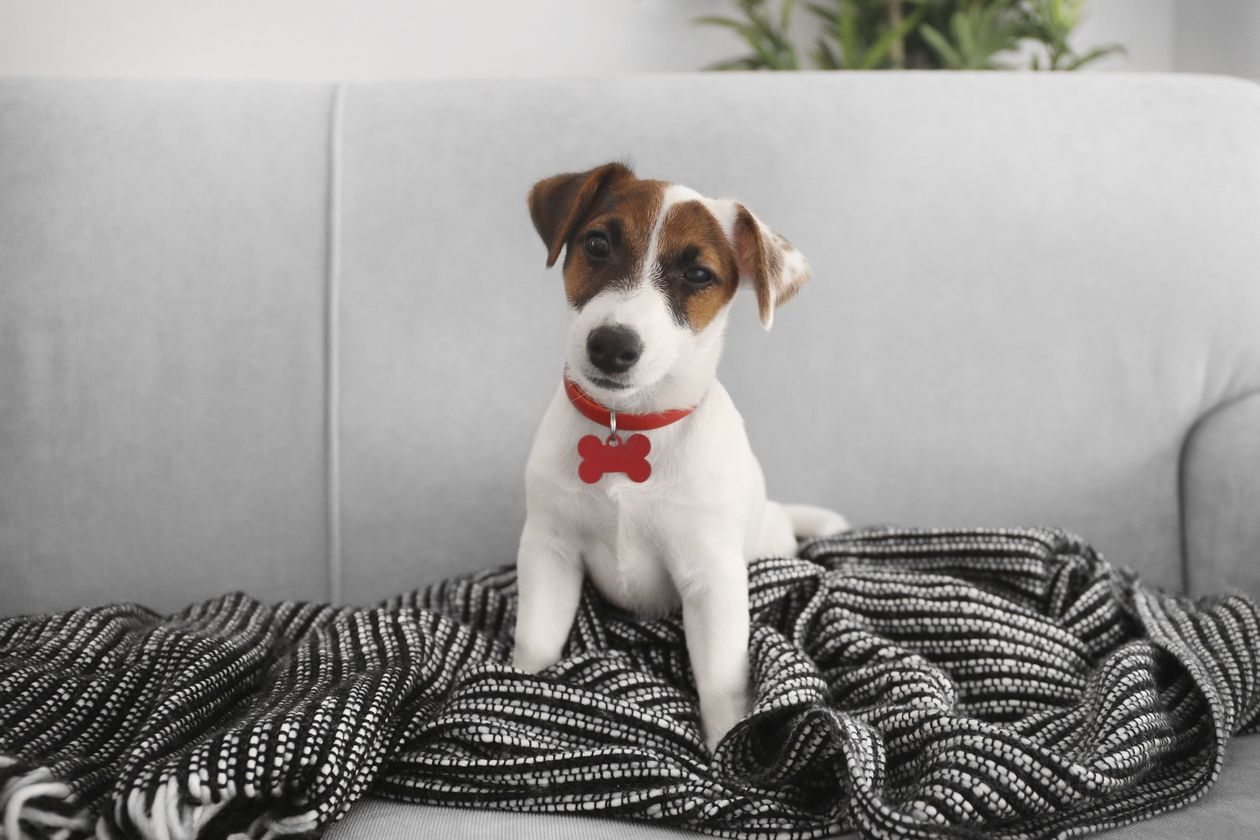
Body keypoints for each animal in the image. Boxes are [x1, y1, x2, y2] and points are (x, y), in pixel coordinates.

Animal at [511, 161, 846, 750]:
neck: (627, 427)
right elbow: (536, 641)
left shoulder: (711, 579)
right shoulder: (549, 550)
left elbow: (720, 680)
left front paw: (725, 750)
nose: (611, 345)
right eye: (597, 243)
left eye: (698, 275)